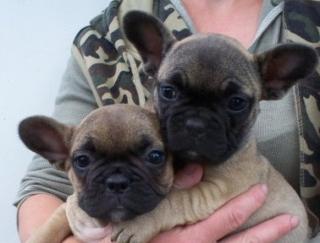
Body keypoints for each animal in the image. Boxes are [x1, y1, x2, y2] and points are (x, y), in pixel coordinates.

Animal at [109, 10, 318, 243]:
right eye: (168, 92)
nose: (195, 124)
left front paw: (140, 222)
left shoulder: (219, 189)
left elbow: (174, 199)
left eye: (236, 103)